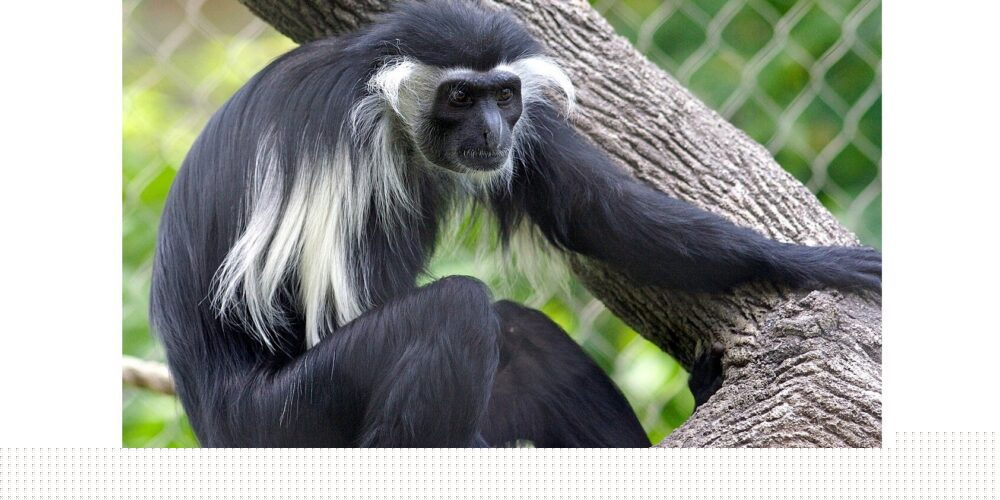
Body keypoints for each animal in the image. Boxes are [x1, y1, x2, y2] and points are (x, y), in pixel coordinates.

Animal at [150, 0, 881, 447]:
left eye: (503, 96)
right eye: (458, 97)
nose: (494, 131)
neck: (387, 111)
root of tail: (211, 418)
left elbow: (598, 211)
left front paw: (813, 263)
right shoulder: (340, 146)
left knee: (524, 338)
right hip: (283, 419)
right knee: (456, 311)